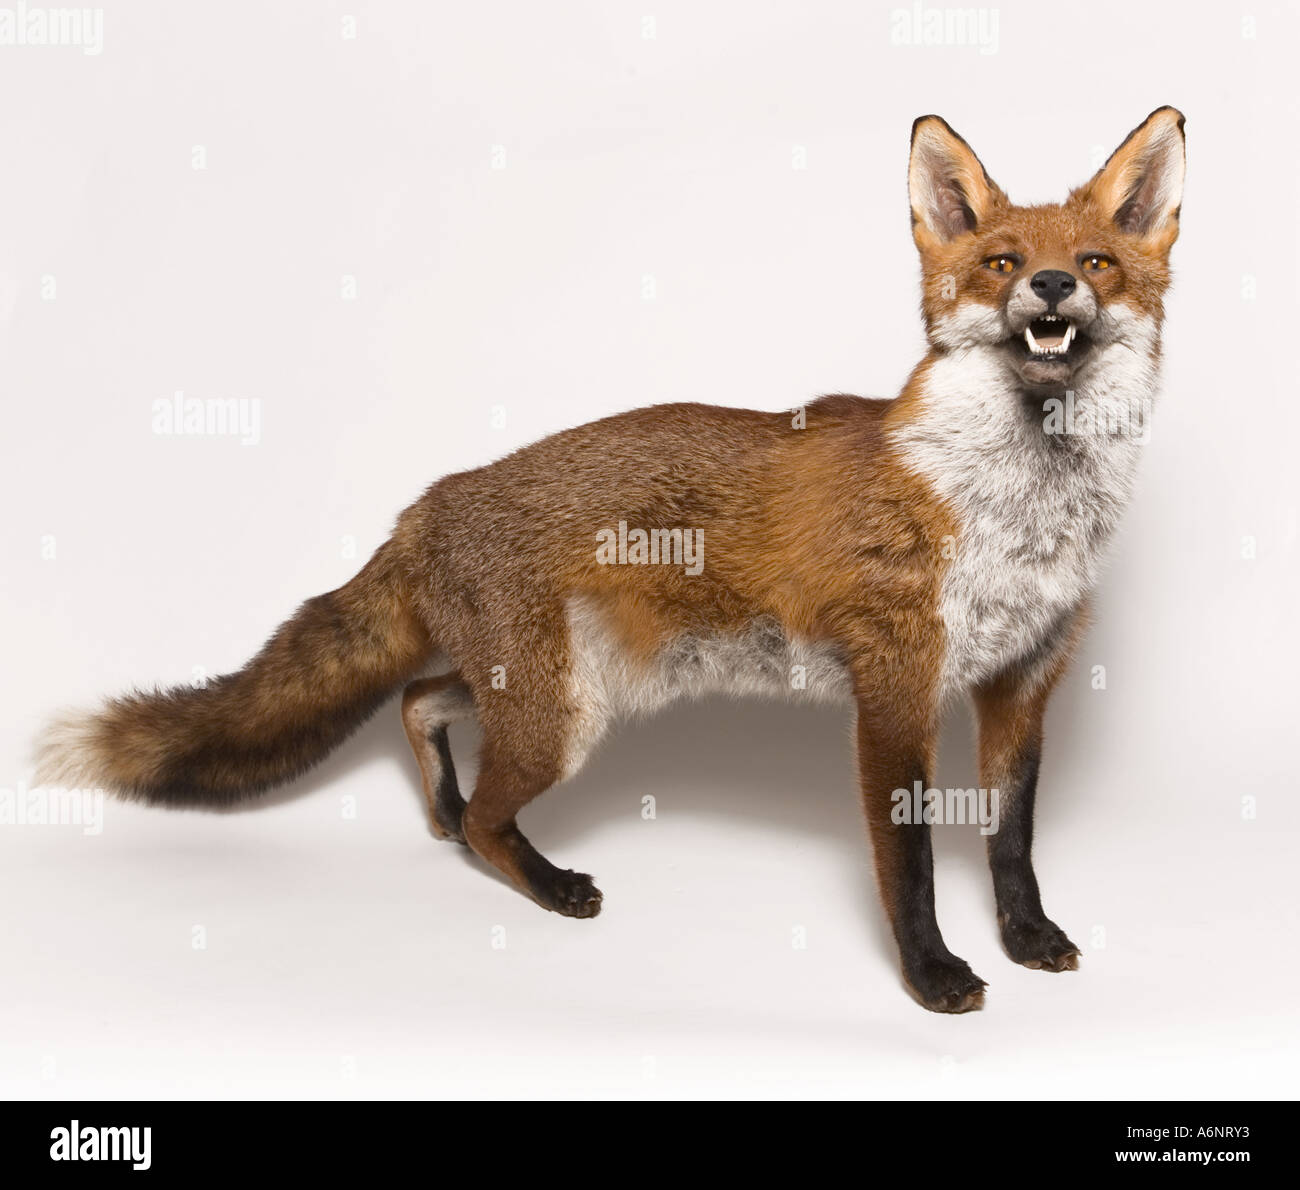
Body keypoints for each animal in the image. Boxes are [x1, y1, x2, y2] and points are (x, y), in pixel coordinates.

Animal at [36, 107, 1185, 1012]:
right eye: (999, 263)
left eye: (1096, 263)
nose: (1049, 285)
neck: (1018, 511)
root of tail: (429, 502)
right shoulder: (897, 689)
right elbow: (908, 866)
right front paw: (932, 976)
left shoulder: (1021, 680)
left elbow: (1011, 839)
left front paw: (1027, 937)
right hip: (565, 715)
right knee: (484, 798)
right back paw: (540, 879)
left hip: (571, 690)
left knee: (420, 699)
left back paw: (442, 813)